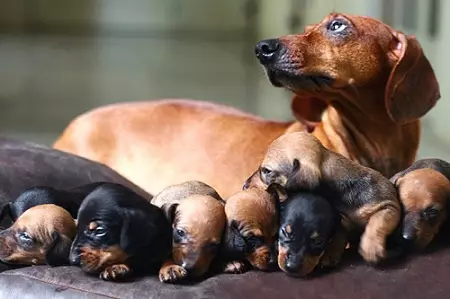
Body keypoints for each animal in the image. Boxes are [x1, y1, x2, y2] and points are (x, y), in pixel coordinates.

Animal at [246, 132, 400, 264]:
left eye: (266, 171)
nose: (245, 184)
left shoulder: (389, 206)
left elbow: (377, 222)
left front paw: (370, 247)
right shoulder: (340, 221)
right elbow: (338, 236)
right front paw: (330, 254)